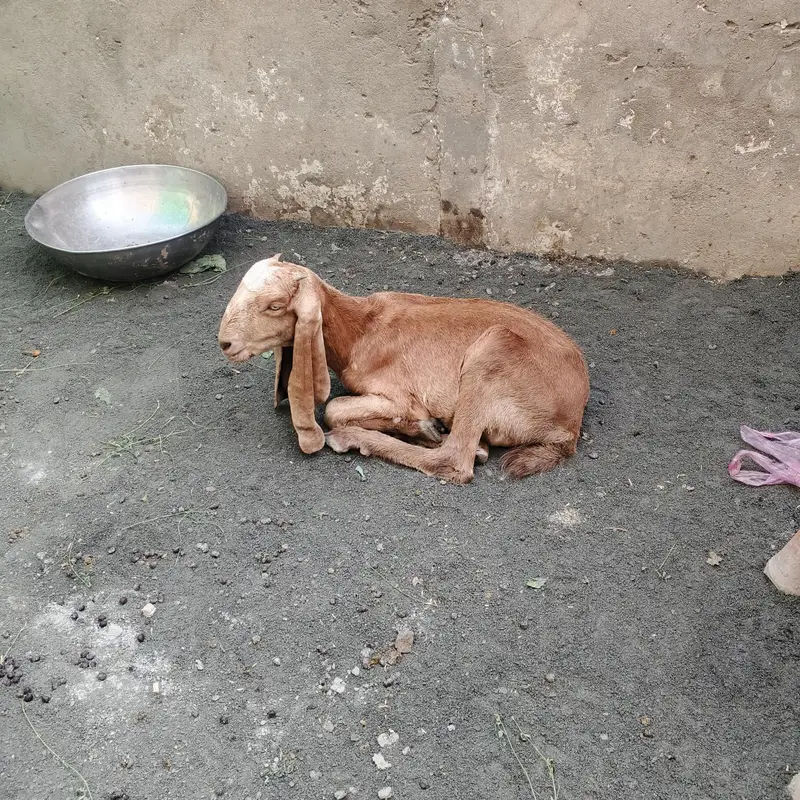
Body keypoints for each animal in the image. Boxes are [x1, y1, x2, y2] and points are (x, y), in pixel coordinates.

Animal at [218, 254, 590, 484]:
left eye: (275, 305)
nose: (225, 343)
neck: (360, 332)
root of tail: (568, 426)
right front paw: (422, 427)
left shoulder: (399, 395)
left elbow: (335, 409)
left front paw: (419, 424)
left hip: (493, 350)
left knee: (453, 461)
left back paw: (358, 438)